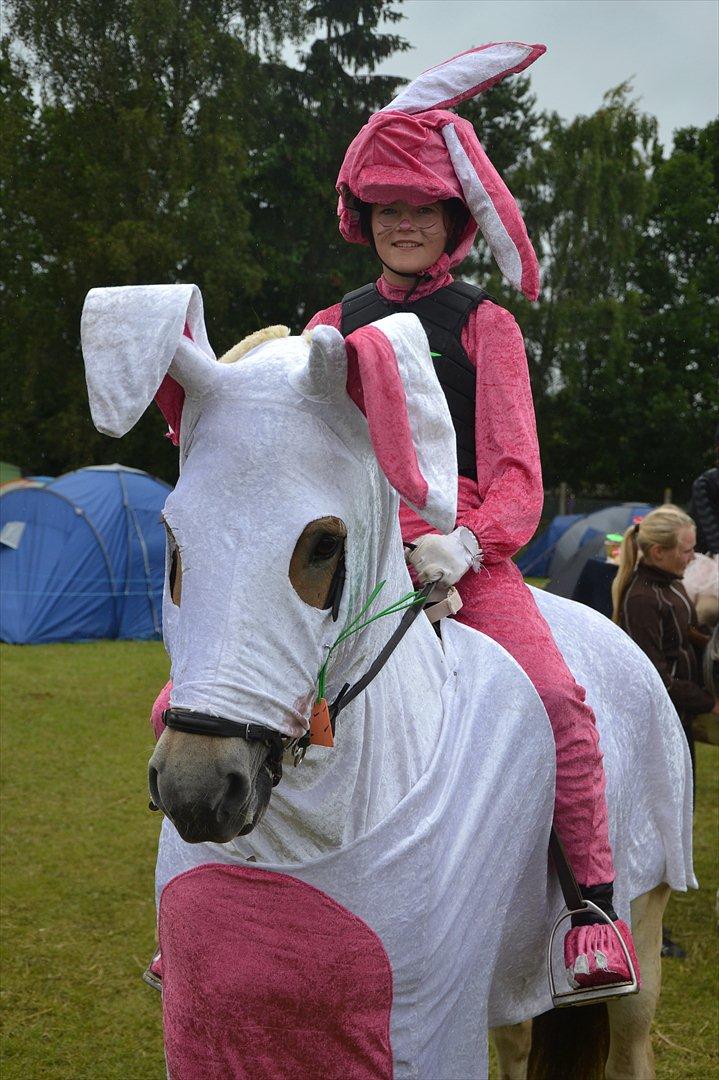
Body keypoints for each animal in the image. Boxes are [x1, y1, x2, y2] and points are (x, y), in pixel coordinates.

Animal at [80, 285, 690, 1080]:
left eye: (323, 544)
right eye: (172, 536)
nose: (198, 787)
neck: (314, 832)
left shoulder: (425, 1030)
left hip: (643, 920)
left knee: (630, 1035)